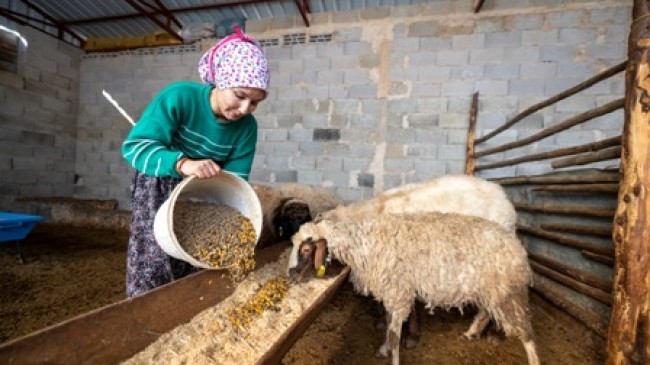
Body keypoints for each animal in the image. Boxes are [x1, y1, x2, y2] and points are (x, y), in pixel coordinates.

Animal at [288, 210, 536, 364]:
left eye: (306, 249)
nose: (291, 275)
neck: (364, 244)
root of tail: (517, 247)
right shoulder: (392, 292)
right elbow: (389, 325)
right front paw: (384, 349)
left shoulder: (399, 293)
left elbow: (395, 332)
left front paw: (393, 356)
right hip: (491, 289)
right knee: (485, 311)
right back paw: (471, 332)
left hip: (508, 291)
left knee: (526, 333)